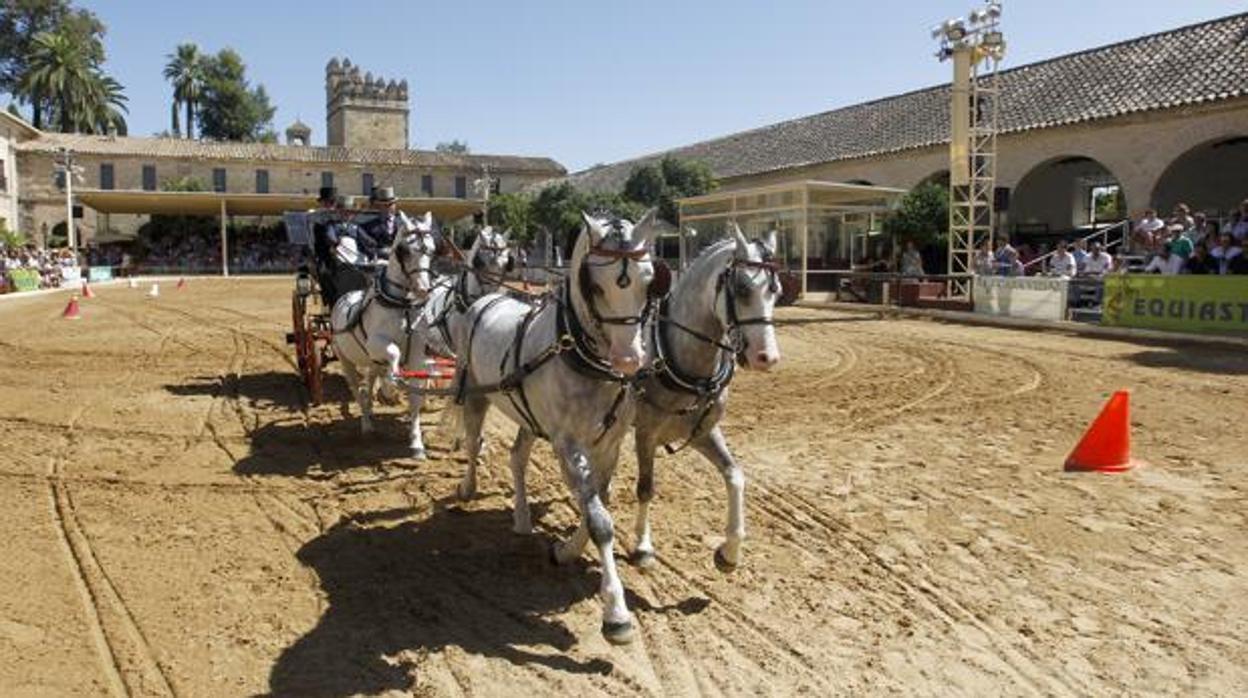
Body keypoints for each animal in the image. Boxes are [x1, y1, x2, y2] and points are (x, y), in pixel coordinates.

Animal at [329, 213, 436, 439]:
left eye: (432, 250)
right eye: (405, 250)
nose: (424, 289)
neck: (401, 305)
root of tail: (344, 298)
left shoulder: (416, 352)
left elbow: (415, 395)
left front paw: (416, 436)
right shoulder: (376, 344)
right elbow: (394, 353)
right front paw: (389, 391)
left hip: (372, 360)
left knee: (370, 380)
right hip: (346, 359)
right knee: (357, 389)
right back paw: (366, 422)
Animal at [446, 208, 668, 644]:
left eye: (650, 279)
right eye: (594, 285)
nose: (629, 359)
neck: (586, 358)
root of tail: (486, 299)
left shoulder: (610, 443)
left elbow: (598, 502)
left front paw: (565, 550)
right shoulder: (568, 444)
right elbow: (600, 521)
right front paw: (616, 612)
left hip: (529, 417)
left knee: (517, 457)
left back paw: (521, 518)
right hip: (476, 393)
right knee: (474, 439)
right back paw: (468, 487)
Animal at [633, 227, 778, 576]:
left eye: (776, 291)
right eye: (742, 288)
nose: (767, 357)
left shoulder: (702, 432)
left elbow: (735, 476)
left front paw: (730, 551)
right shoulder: (645, 434)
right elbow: (646, 488)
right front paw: (643, 546)